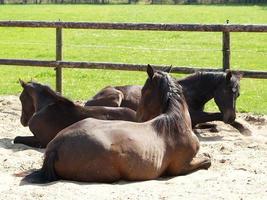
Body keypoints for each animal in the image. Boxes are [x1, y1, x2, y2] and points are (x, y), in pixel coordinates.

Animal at [22, 65, 211, 183]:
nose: (139, 116)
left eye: (144, 90)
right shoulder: (180, 167)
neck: (174, 121)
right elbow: (208, 161)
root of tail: (56, 146)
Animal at [85, 65, 242, 126]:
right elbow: (215, 115)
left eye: (238, 94)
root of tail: (89, 100)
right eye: (226, 91)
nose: (231, 117)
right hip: (117, 96)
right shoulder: (195, 116)